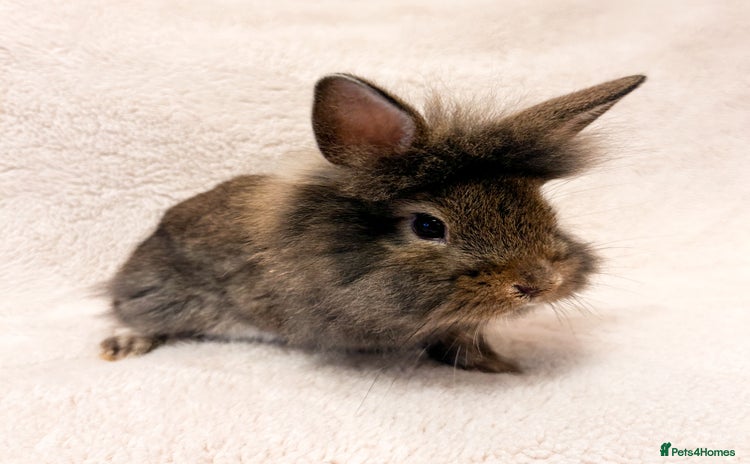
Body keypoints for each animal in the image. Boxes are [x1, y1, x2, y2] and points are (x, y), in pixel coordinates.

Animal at [100, 72, 645, 373]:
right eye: (427, 227)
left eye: (544, 208)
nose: (538, 284)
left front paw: (499, 365)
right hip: (162, 292)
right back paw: (123, 344)